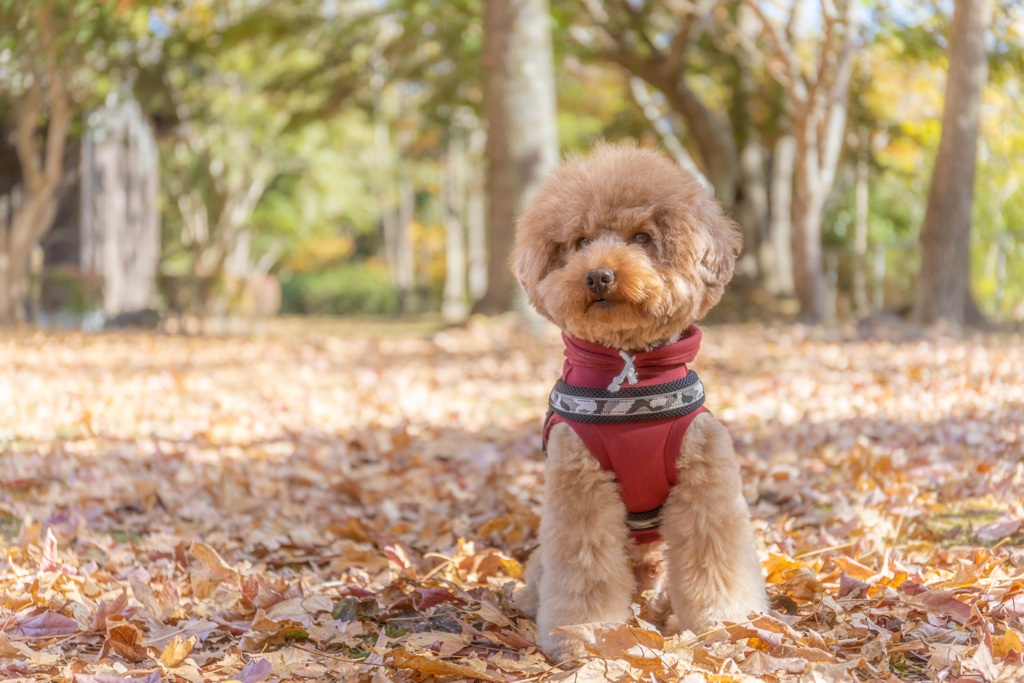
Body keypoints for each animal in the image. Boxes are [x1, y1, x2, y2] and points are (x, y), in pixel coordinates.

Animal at [507, 144, 765, 663]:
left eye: (643, 237)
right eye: (580, 241)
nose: (598, 275)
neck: (629, 388)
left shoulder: (706, 482)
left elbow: (717, 559)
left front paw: (727, 624)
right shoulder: (580, 488)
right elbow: (585, 569)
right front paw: (583, 634)